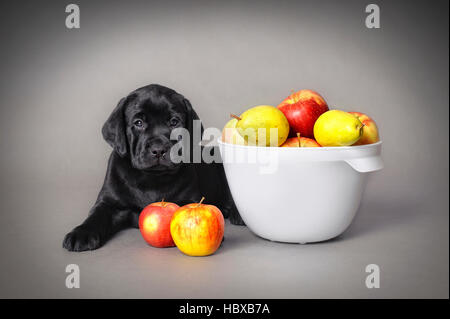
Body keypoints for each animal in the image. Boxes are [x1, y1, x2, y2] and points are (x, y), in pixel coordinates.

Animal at [63, 84, 243, 252]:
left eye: (174, 122)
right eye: (138, 123)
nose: (158, 149)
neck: (151, 178)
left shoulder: (190, 199)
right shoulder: (108, 202)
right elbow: (96, 215)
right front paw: (81, 233)